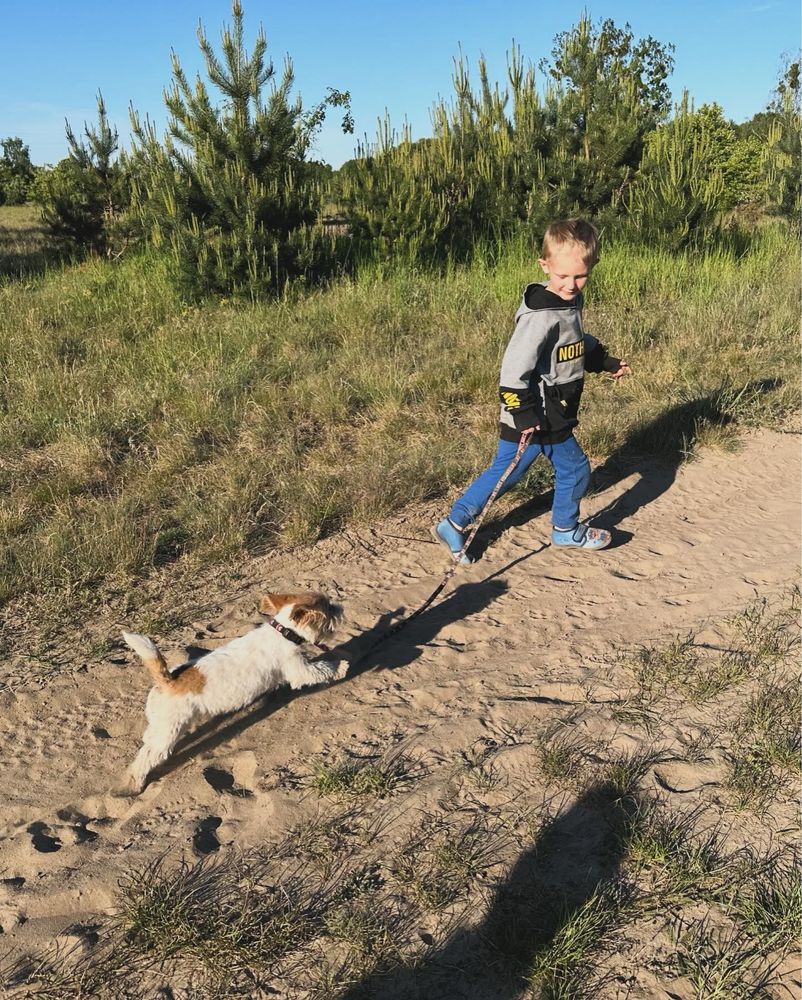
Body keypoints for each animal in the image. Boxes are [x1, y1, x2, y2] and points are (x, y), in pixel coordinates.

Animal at [120, 588, 346, 792]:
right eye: (328, 607)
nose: (340, 607)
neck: (284, 632)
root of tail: (168, 680)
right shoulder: (299, 669)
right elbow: (322, 668)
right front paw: (341, 667)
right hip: (169, 731)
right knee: (147, 757)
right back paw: (133, 784)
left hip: (161, 724)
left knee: (148, 742)